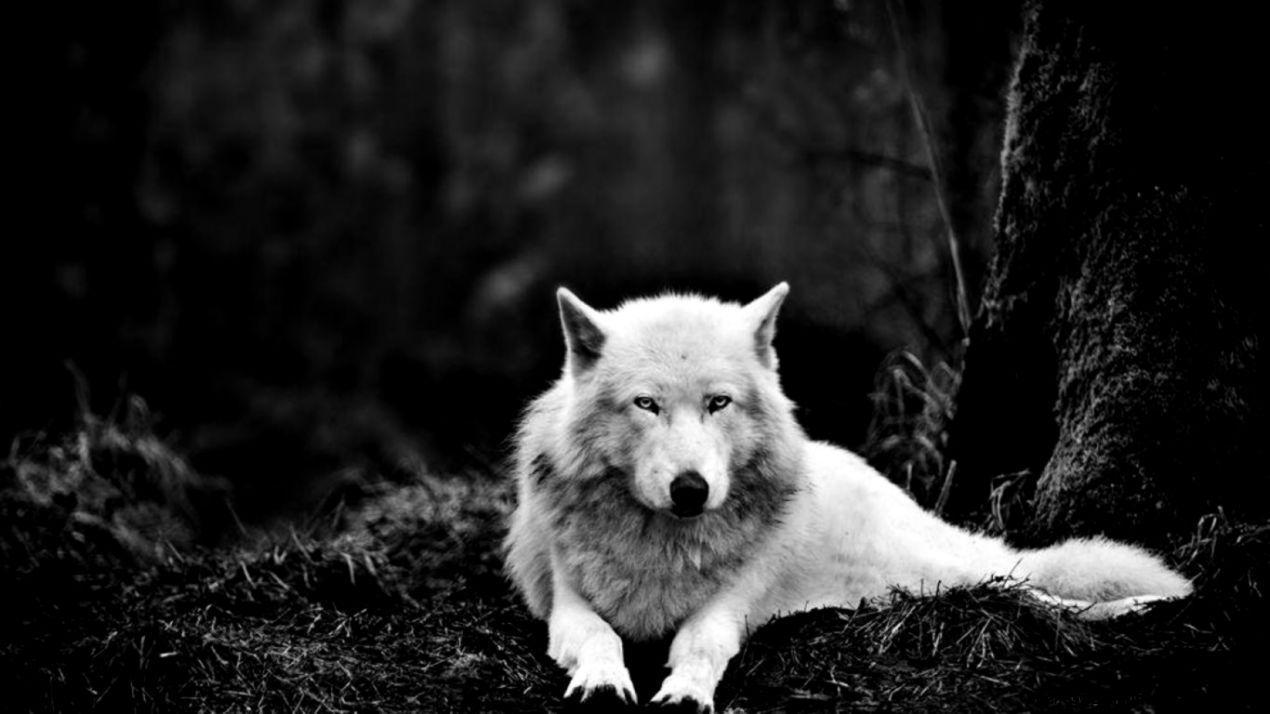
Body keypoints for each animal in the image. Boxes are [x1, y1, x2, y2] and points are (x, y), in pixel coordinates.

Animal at [504, 283, 1192, 712]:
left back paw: (1146, 604)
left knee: (1034, 589)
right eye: (646, 404)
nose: (691, 489)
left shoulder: (729, 607)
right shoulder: (566, 605)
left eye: (718, 402)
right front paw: (602, 683)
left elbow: (699, 645)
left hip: (938, 573)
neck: (663, 547)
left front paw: (685, 695)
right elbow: (601, 638)